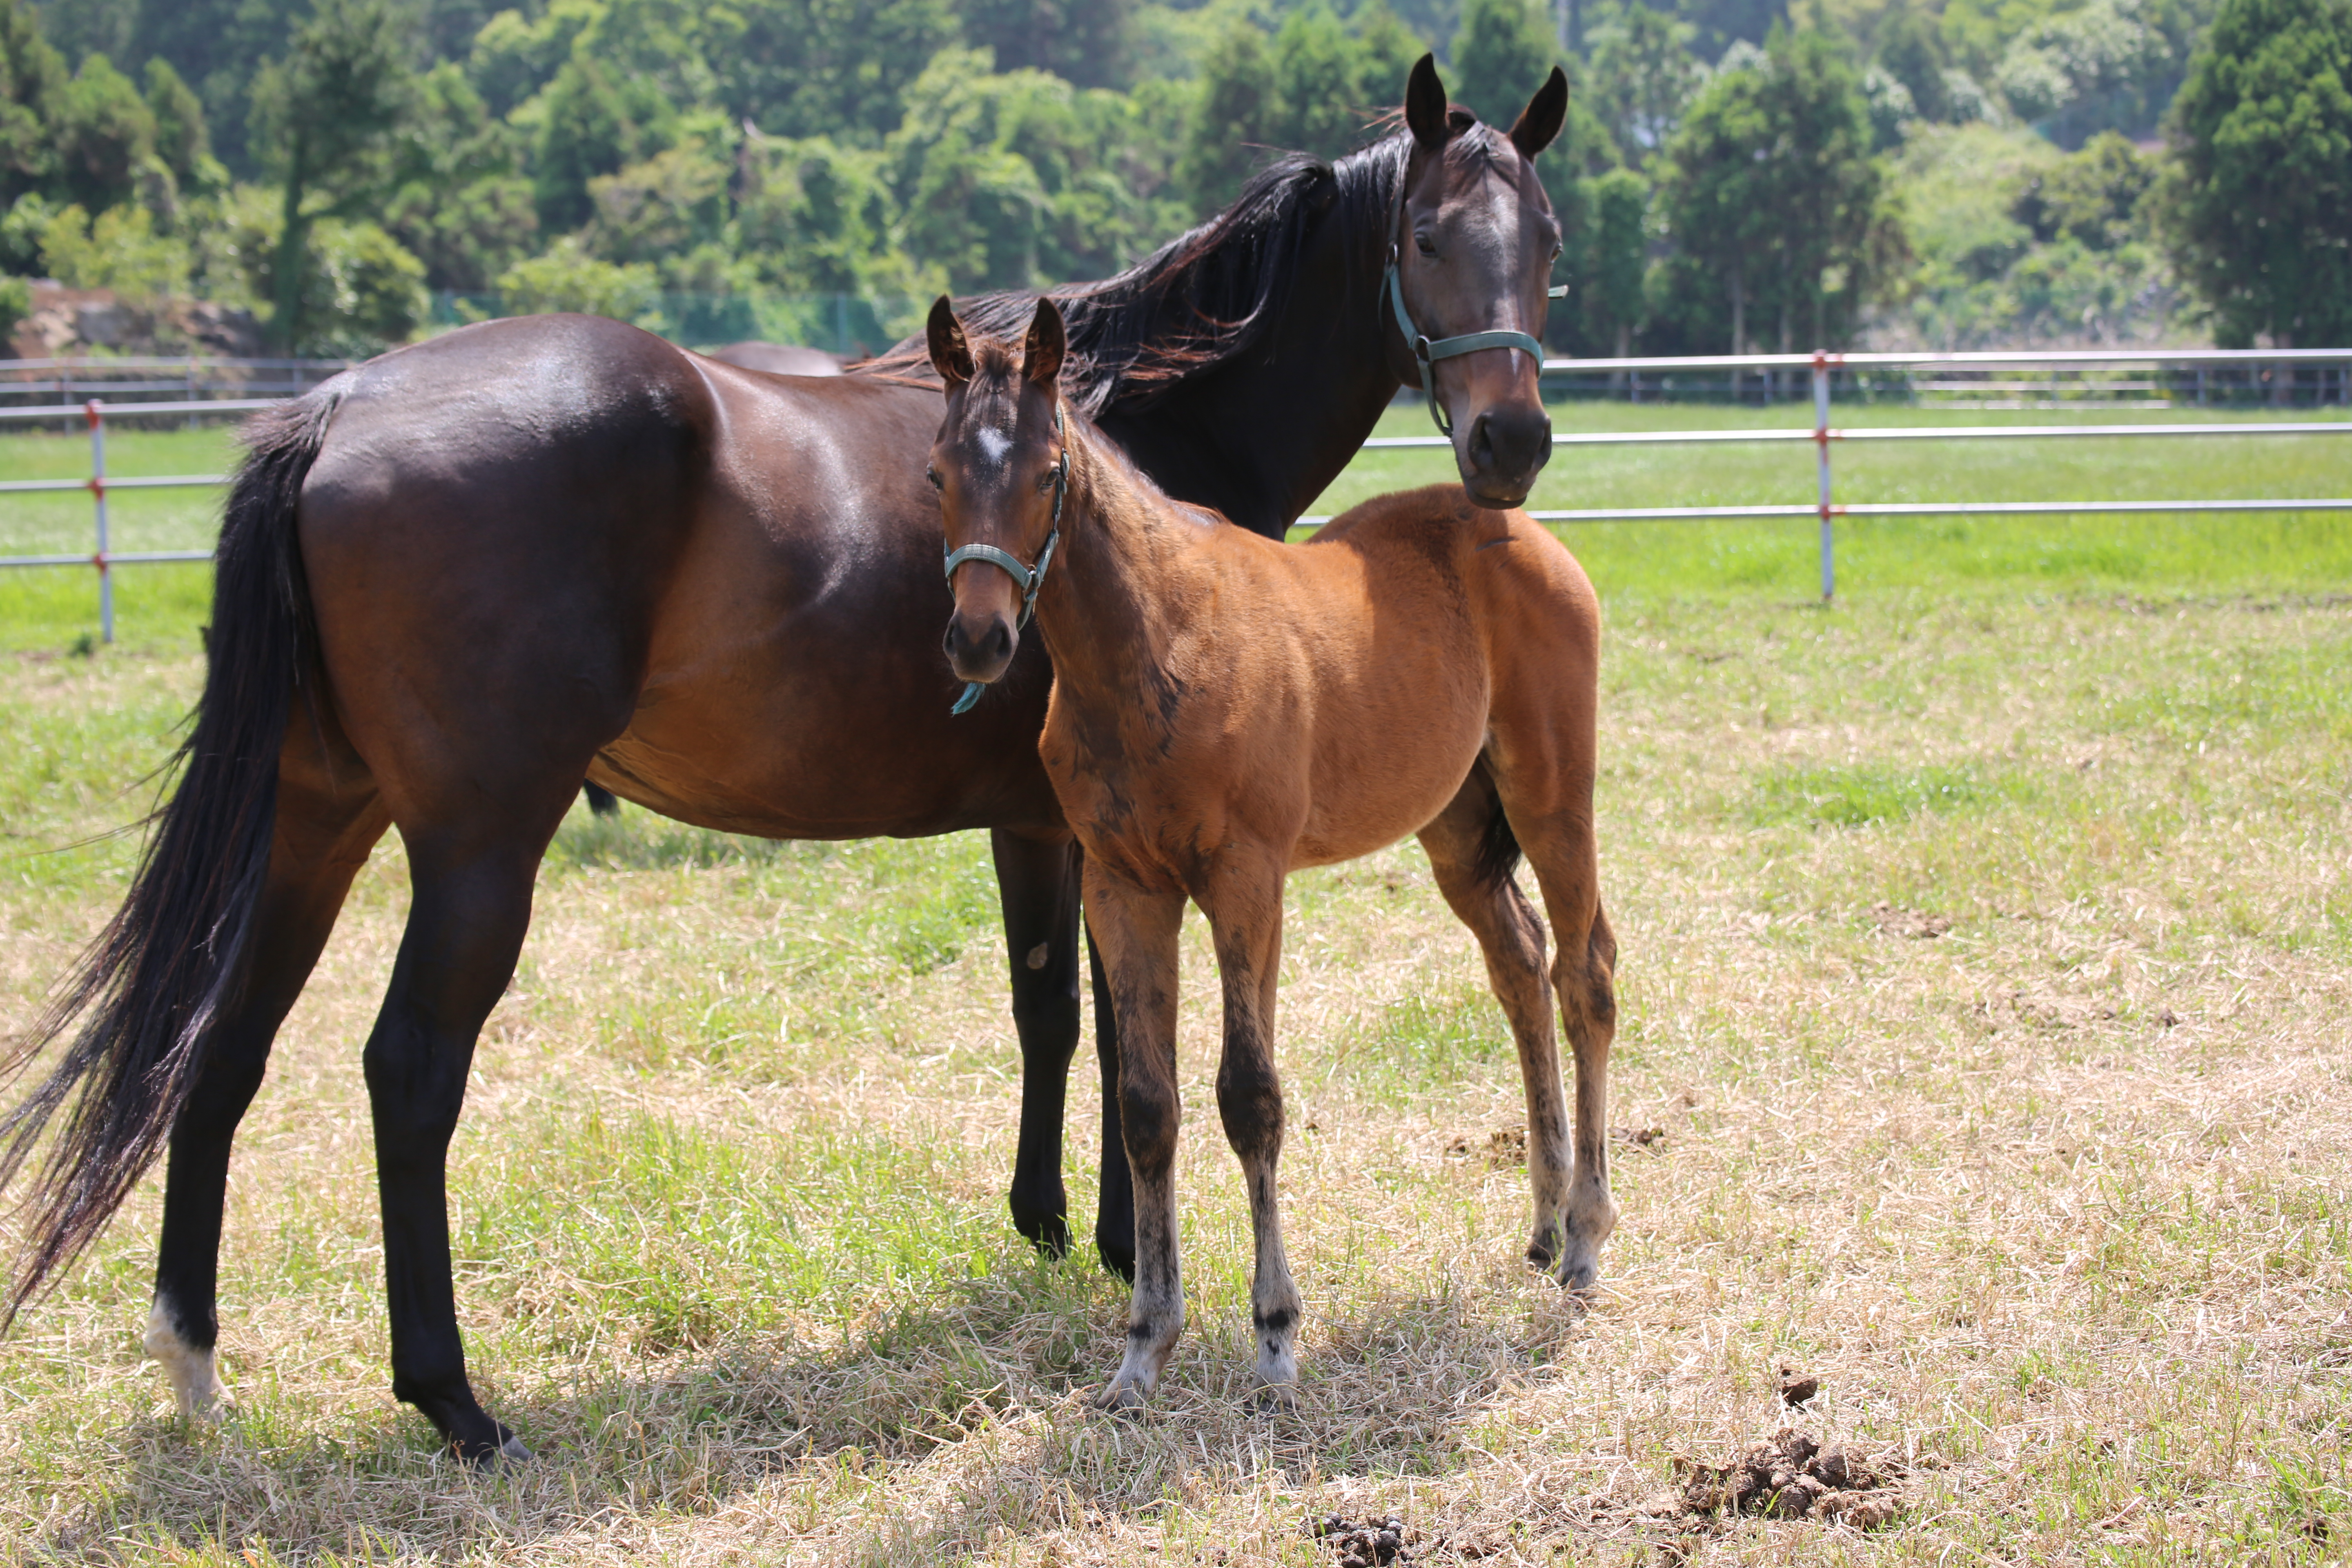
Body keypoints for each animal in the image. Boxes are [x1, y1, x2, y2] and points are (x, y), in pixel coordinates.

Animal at [917, 297, 1618, 1410]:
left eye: (1047, 472)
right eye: (939, 473)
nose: (979, 640)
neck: (1154, 644)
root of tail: (1519, 528)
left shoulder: (1245, 882)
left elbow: (1248, 1097)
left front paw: (1276, 1338)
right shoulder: (1123, 886)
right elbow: (1146, 1105)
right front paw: (1142, 1347)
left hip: (1552, 795)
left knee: (1583, 973)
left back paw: (1587, 1237)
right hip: (1457, 823)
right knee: (1518, 964)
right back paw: (1545, 1222)